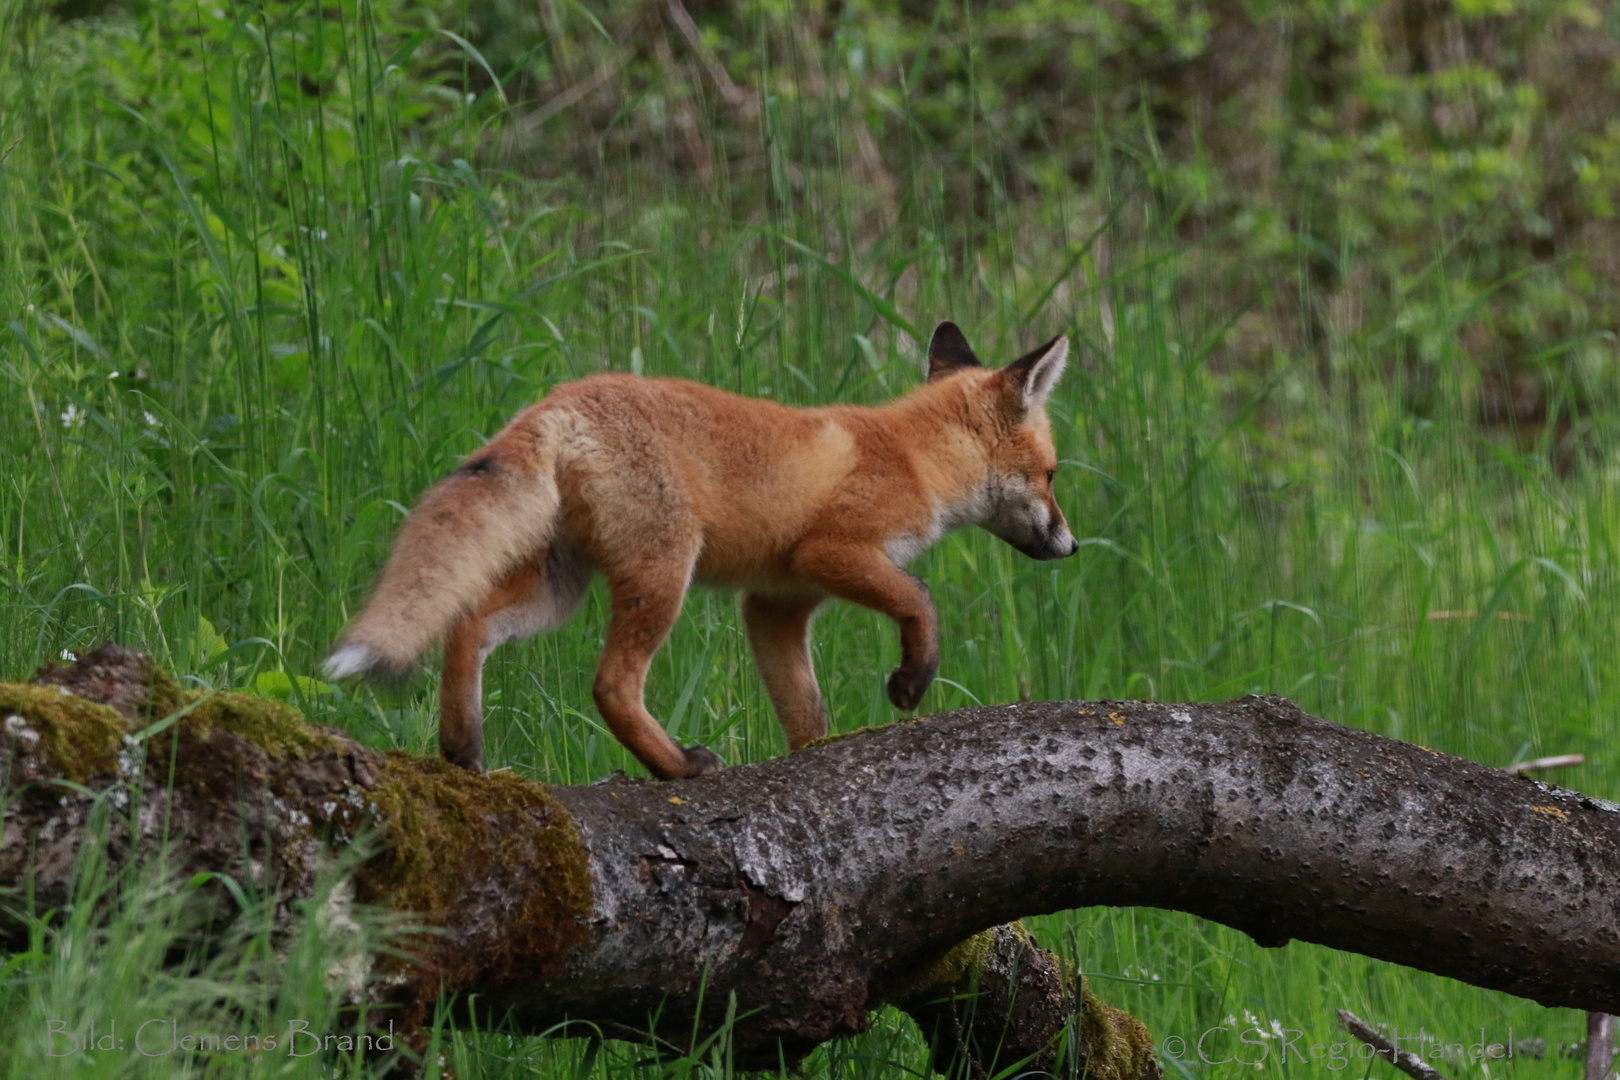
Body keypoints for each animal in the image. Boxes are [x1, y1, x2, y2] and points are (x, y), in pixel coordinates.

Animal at [322, 320, 1082, 777]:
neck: (912, 457)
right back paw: (677, 768)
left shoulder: (776, 602)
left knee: (469, 623)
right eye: (1052, 475)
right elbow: (920, 600)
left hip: (560, 590)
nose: (1072, 546)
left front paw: (817, 761)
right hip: (664, 576)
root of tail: (562, 400)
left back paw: (463, 749)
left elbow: (806, 712)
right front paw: (911, 680)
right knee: (610, 686)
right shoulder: (832, 552)